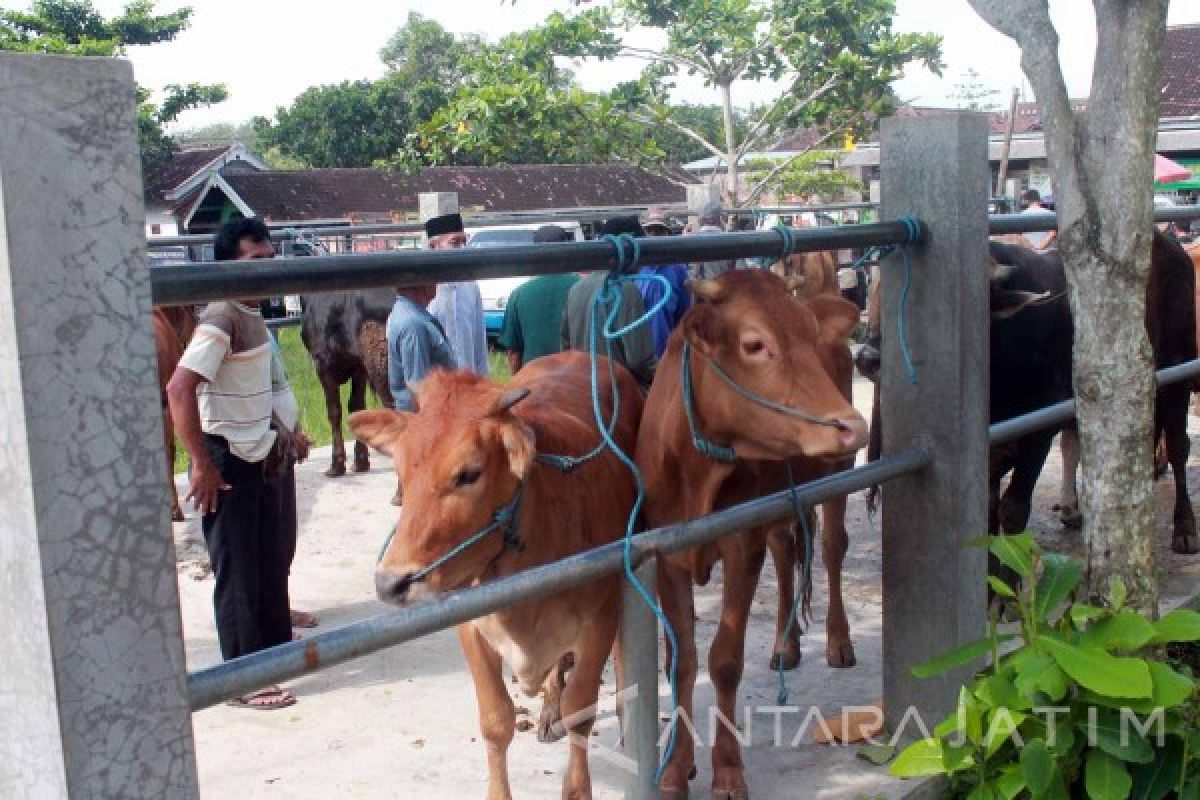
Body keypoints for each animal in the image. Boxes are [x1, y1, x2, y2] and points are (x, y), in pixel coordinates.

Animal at [350, 352, 643, 800]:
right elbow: (495, 721)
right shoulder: (470, 624)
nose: (390, 583)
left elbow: (581, 709)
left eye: (468, 474)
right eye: (400, 473)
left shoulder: (600, 616)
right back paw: (548, 711)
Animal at [633, 272, 868, 796]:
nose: (851, 425)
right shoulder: (668, 555)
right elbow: (680, 660)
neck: (696, 469)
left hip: (838, 474)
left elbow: (724, 660)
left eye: (811, 337)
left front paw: (726, 770)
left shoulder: (741, 544)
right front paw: (676, 767)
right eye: (754, 344)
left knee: (831, 548)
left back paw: (838, 641)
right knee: (785, 551)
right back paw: (786, 645)